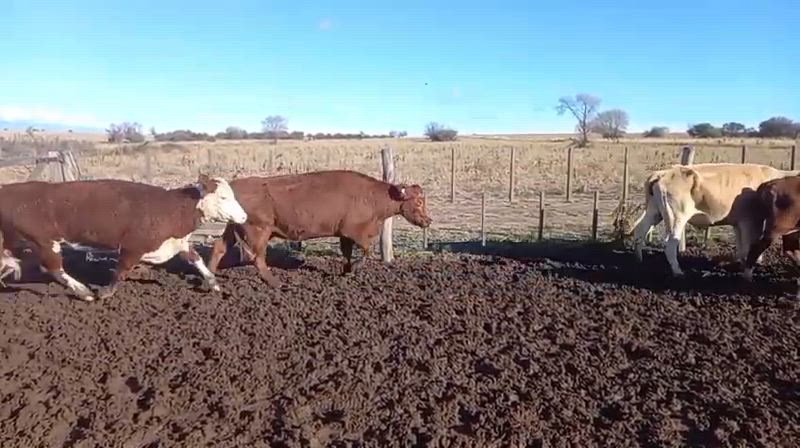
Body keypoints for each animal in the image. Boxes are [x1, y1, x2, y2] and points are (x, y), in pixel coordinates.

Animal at [0, 174, 247, 301]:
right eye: (223, 197)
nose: (244, 216)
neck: (172, 209)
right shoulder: (132, 247)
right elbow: (121, 271)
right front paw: (105, 293)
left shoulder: (177, 243)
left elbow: (197, 261)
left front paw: (215, 285)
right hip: (44, 242)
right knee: (54, 268)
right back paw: (84, 292)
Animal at [206, 170, 433, 285]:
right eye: (419, 201)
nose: (428, 221)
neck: (370, 196)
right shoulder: (356, 232)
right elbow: (366, 251)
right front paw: (354, 269)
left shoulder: (344, 234)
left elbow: (348, 253)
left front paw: (347, 270)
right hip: (258, 230)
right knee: (257, 258)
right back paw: (274, 282)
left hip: (235, 228)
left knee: (219, 248)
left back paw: (209, 278)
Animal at [630, 163, 799, 276]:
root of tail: (663, 173)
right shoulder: (750, 220)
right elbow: (749, 245)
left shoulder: (739, 222)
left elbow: (741, 246)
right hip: (676, 218)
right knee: (669, 244)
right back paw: (678, 272)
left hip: (654, 212)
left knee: (639, 232)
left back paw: (639, 261)